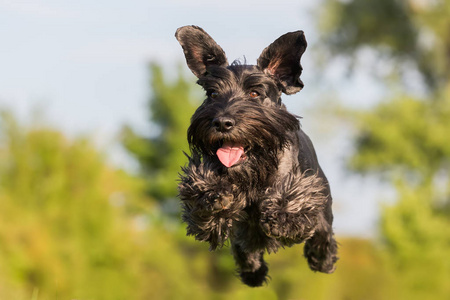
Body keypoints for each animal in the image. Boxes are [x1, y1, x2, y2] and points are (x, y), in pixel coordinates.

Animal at [176, 25, 338, 286]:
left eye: (254, 93)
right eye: (212, 93)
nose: (222, 122)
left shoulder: (303, 190)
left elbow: (293, 205)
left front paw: (282, 216)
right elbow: (203, 199)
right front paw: (214, 195)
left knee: (323, 234)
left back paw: (322, 259)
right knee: (245, 245)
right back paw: (253, 271)